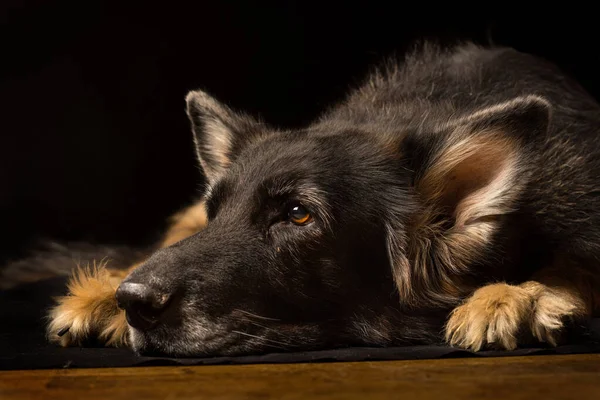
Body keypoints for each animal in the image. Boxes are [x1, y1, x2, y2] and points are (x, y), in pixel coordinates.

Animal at [5, 40, 600, 356]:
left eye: (297, 215)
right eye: (217, 213)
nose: (132, 299)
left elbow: (576, 264)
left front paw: (517, 296)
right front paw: (104, 296)